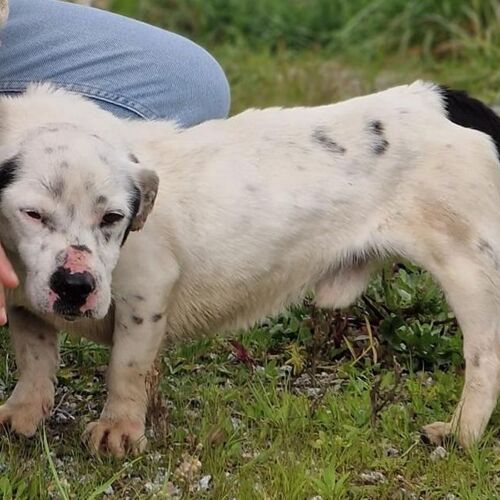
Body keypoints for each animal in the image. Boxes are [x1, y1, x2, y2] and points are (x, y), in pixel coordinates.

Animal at [0, 81, 498, 457]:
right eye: (32, 214)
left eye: (112, 217)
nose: (74, 285)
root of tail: (438, 99)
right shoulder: (23, 304)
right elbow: (34, 360)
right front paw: (23, 414)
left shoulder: (144, 295)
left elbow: (126, 369)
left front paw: (118, 431)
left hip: (469, 272)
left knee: (484, 358)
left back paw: (461, 432)